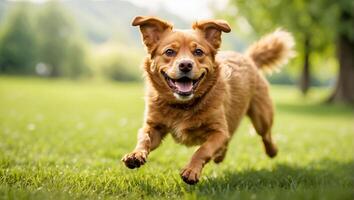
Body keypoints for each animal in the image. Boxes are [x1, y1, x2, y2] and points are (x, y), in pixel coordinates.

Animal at [123, 15, 294, 184]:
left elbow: (202, 150)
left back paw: (272, 151)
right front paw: (136, 154)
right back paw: (220, 156)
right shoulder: (154, 127)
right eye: (169, 52)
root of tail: (248, 58)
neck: (183, 106)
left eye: (198, 51)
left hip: (261, 118)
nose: (185, 64)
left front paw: (191, 170)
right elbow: (144, 138)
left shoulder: (218, 132)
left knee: (265, 135)